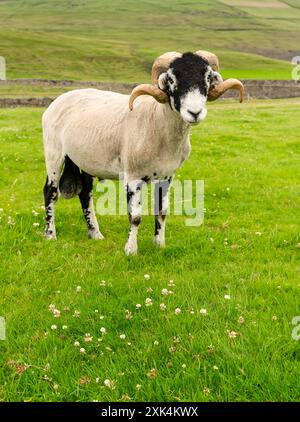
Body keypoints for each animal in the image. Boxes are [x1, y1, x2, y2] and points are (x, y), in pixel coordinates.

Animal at [42, 49, 244, 254]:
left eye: (208, 77)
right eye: (171, 79)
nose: (194, 113)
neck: (155, 121)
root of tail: (60, 99)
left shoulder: (166, 176)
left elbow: (162, 212)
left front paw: (159, 245)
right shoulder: (132, 176)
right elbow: (135, 216)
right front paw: (131, 250)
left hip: (84, 160)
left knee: (85, 193)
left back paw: (95, 234)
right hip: (53, 152)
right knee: (50, 192)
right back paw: (50, 235)